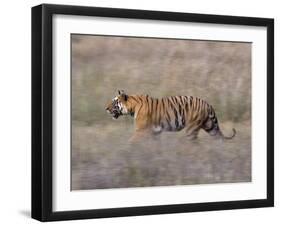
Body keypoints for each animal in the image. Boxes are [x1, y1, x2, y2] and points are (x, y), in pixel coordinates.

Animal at [104, 89, 234, 141]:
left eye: (114, 102)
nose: (106, 109)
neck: (132, 107)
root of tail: (207, 103)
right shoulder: (154, 133)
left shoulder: (141, 131)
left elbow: (131, 142)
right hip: (210, 126)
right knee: (219, 138)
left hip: (191, 129)